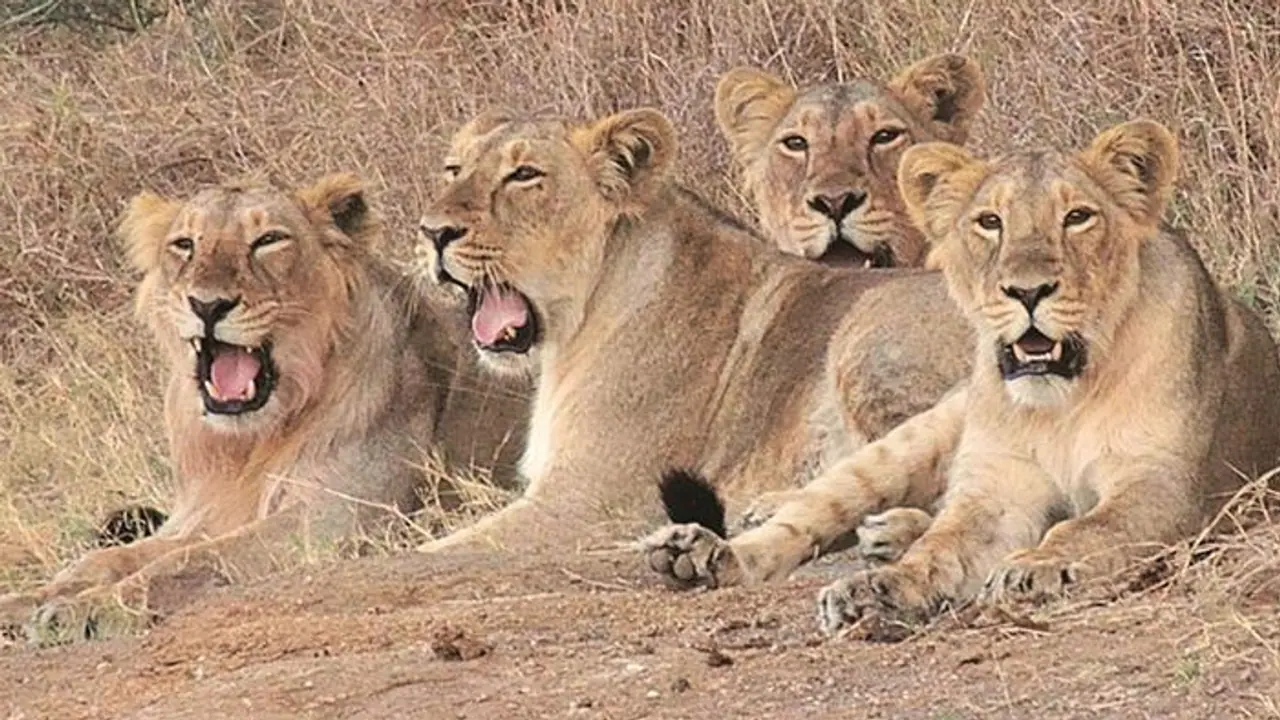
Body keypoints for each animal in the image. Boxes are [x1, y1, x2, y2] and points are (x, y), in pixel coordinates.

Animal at [0, 173, 527, 643]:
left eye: (268, 240)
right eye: (185, 244)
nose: (207, 305)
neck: (249, 442)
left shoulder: (334, 520)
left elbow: (187, 561)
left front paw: (84, 610)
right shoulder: (205, 515)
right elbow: (109, 559)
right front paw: (29, 600)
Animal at [411, 106, 972, 557]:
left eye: (524, 175)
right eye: (454, 169)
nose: (433, 233)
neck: (575, 326)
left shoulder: (590, 502)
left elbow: (431, 551)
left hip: (867, 332)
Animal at [642, 119, 1280, 635]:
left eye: (1077, 217)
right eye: (989, 222)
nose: (1027, 291)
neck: (1064, 399)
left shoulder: (1163, 483)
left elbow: (1088, 529)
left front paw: (1036, 568)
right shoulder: (997, 488)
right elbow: (941, 549)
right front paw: (876, 593)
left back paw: (883, 532)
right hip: (911, 438)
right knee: (810, 513)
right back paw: (703, 553)